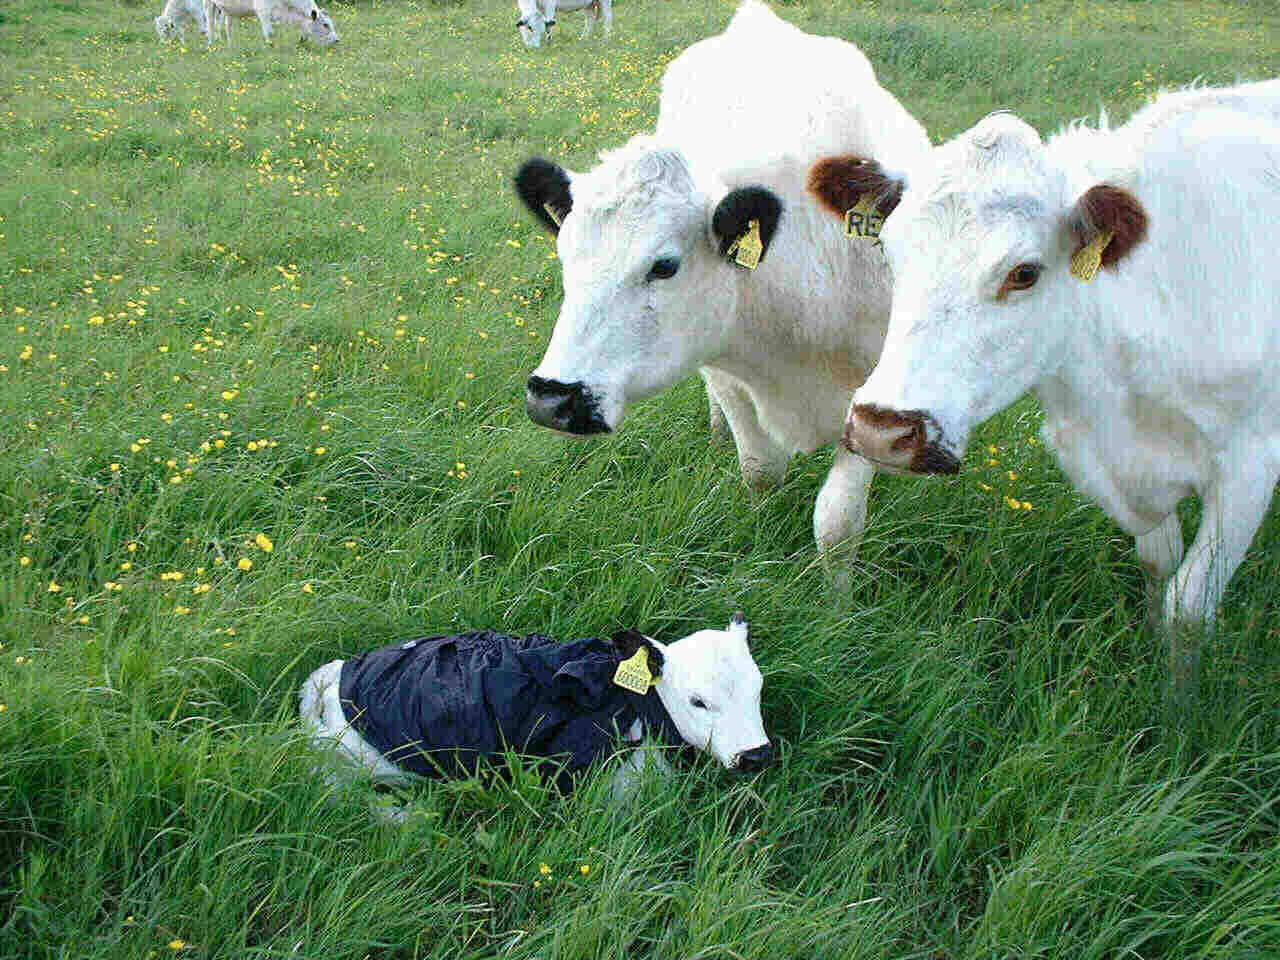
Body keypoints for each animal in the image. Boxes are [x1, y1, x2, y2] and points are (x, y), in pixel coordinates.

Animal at [203, 0, 337, 47]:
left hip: (227, 10)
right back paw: (210, 44)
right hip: (209, 4)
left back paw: (231, 46)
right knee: (210, 23)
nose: (337, 40)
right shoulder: (264, 11)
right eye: (325, 25)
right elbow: (270, 32)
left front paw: (301, 41)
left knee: (227, 27)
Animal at [512, 0, 931, 570]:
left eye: (664, 265)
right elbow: (760, 470)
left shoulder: (876, 401)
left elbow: (837, 523)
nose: (551, 398)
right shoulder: (730, 370)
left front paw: (835, 592)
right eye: (565, 256)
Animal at [808, 80, 1280, 701]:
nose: (881, 430)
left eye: (1025, 272)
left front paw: (1178, 707)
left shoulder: (1251, 465)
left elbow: (1189, 606)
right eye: (888, 252)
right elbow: (1159, 563)